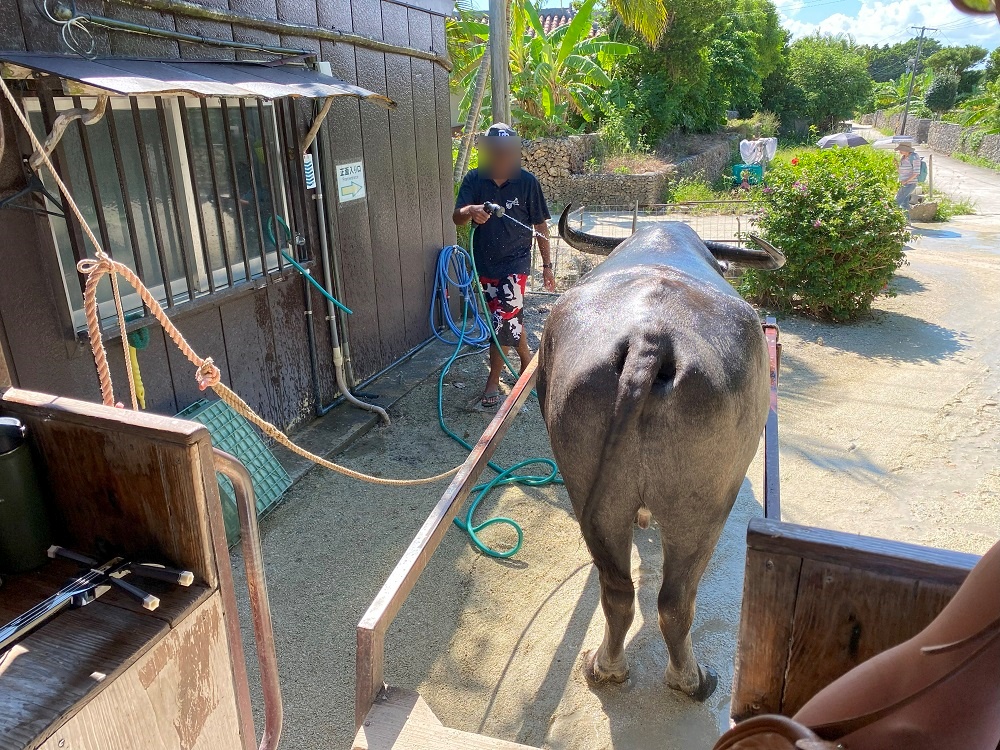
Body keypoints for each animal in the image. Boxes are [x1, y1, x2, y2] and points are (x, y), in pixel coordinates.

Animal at [536, 207, 784, 704]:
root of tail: (651, 338)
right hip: (704, 509)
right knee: (675, 601)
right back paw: (693, 680)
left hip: (596, 500)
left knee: (618, 590)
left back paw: (606, 667)